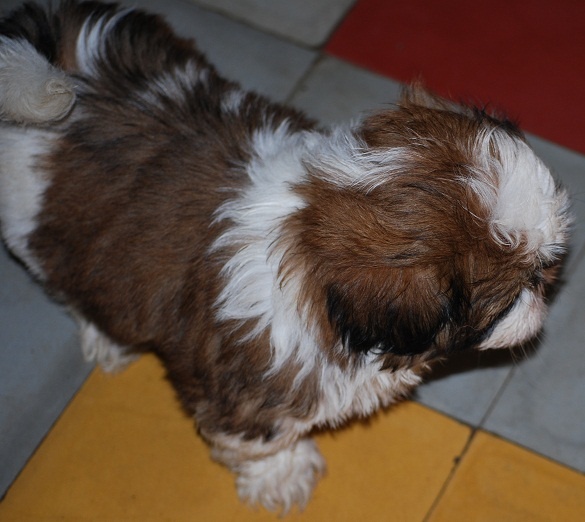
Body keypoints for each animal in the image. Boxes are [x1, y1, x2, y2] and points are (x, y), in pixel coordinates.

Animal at [0, 0, 571, 513]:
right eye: (507, 299)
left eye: (541, 270)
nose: (547, 288)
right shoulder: (248, 389)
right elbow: (263, 439)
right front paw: (284, 477)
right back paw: (106, 334)